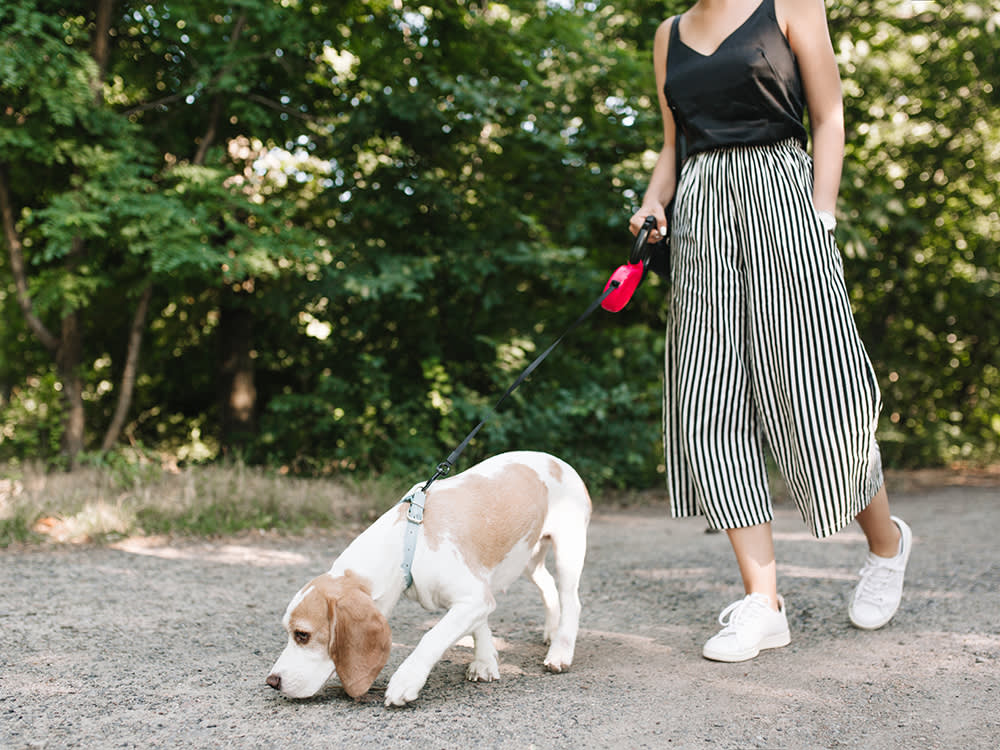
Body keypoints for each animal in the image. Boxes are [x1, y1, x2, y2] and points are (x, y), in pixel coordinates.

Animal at [268, 452, 592, 712]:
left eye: (302, 635)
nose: (272, 681)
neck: (407, 543)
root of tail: (559, 461)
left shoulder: (474, 598)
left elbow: (432, 637)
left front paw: (406, 680)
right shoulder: (478, 595)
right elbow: (479, 626)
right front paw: (485, 660)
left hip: (568, 551)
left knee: (571, 601)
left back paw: (560, 651)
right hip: (527, 560)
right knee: (548, 587)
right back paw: (550, 631)